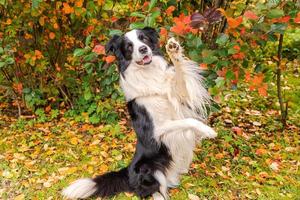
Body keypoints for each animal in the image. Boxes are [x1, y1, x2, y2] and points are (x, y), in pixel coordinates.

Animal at [62, 27, 218, 199]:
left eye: (144, 39)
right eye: (129, 46)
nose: (143, 49)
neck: (148, 74)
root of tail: (127, 170)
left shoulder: (181, 96)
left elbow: (180, 75)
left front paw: (173, 51)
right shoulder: (156, 130)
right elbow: (188, 121)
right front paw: (207, 130)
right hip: (148, 170)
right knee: (150, 191)